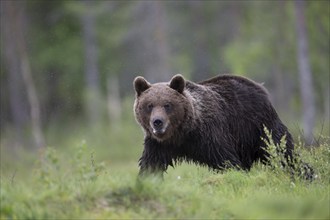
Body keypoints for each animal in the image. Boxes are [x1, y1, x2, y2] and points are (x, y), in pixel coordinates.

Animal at [133, 74, 294, 177]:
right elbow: (151, 163)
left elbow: (226, 161)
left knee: (281, 150)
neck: (183, 133)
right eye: (149, 105)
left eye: (167, 105)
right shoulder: (158, 144)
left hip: (258, 125)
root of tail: (259, 86)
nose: (157, 122)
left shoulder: (210, 135)